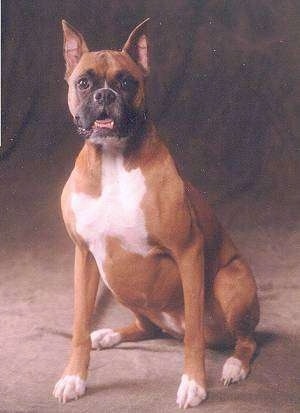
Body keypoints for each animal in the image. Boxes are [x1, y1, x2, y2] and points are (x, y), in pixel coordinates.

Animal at [54, 18, 260, 406]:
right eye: (84, 83)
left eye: (126, 82)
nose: (105, 96)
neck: (114, 159)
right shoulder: (84, 256)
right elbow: (79, 326)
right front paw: (74, 377)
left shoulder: (188, 251)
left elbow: (194, 334)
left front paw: (194, 383)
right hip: (117, 281)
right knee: (147, 327)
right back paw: (109, 335)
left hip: (231, 282)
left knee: (244, 340)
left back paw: (233, 366)